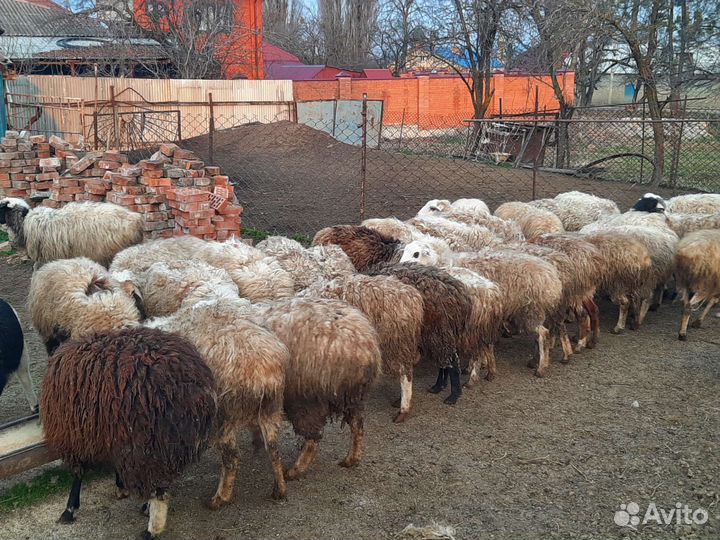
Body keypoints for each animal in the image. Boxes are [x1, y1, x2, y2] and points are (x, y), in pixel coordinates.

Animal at [40, 327, 217, 539]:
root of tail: (190, 388)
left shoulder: (75, 437)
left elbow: (78, 475)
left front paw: (69, 509)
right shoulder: (112, 433)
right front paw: (121, 486)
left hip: (147, 446)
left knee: (158, 492)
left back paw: (151, 529)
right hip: (162, 446)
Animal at [145, 292, 289, 506]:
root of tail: (260, 370)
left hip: (222, 414)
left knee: (232, 458)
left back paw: (220, 498)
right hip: (270, 407)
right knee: (273, 449)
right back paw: (279, 489)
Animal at [248, 297, 381, 479]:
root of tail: (363, 347)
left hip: (306, 399)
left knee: (314, 436)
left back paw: (296, 470)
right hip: (352, 396)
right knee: (357, 424)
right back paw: (351, 458)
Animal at [365, 262, 473, 403]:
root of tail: (458, 294)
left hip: (437, 332)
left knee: (452, 362)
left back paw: (453, 395)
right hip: (438, 335)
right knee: (445, 361)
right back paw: (438, 386)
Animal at [400, 241, 562, 379]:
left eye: (416, 254)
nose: (401, 265)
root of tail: (553, 277)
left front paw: (478, 364)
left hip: (529, 310)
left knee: (542, 334)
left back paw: (541, 367)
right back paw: (535, 361)